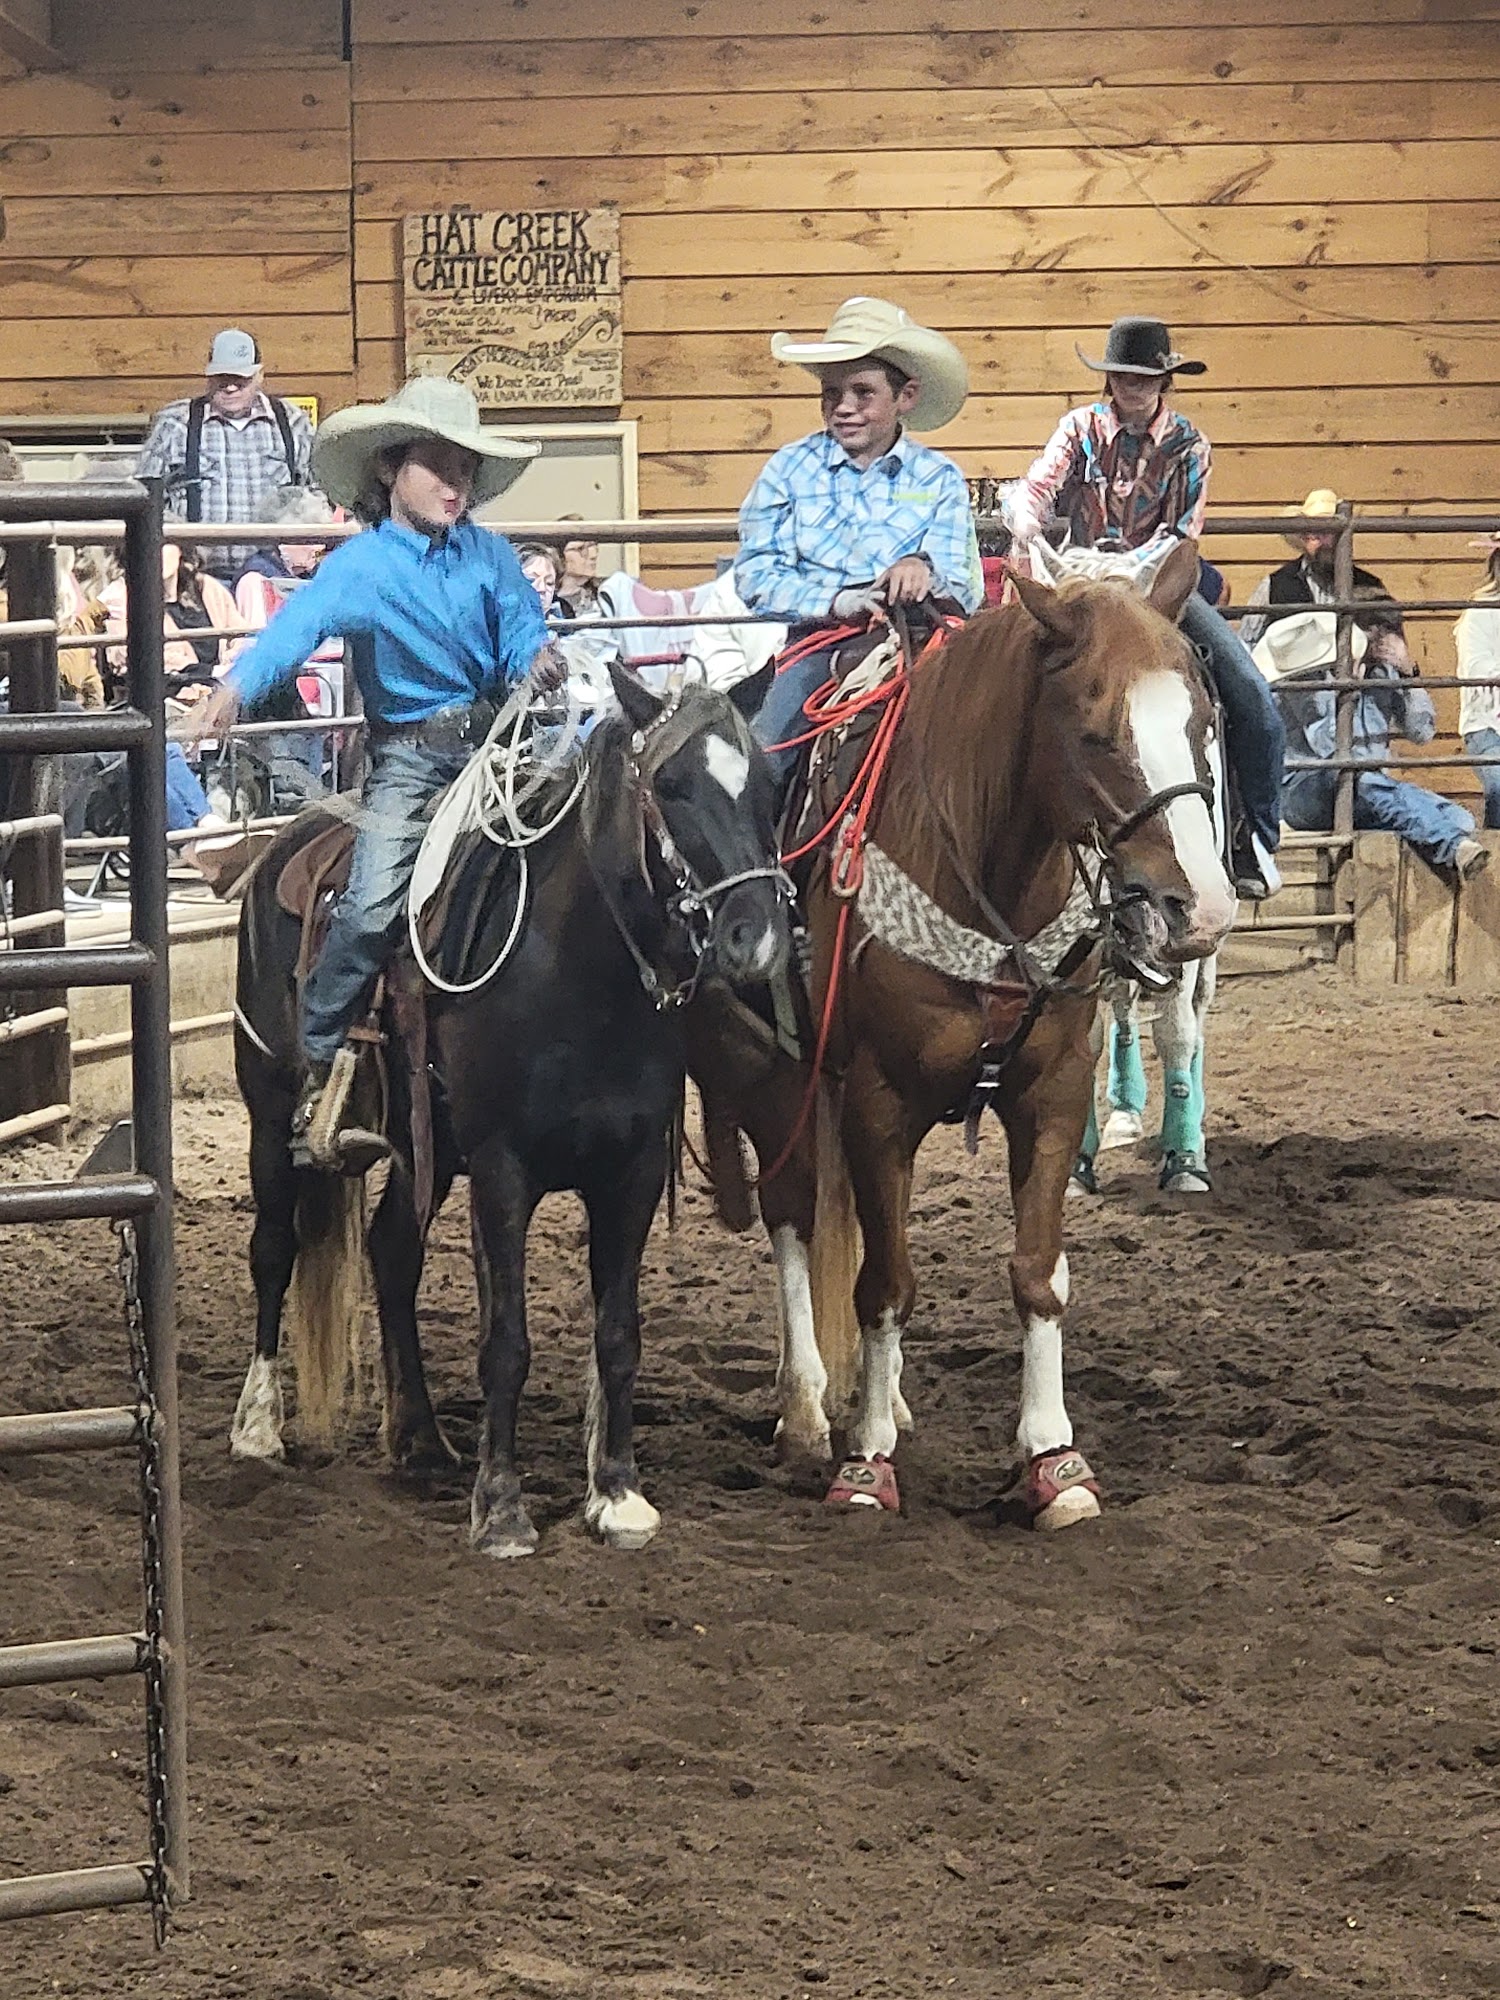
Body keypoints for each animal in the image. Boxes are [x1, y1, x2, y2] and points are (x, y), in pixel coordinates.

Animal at [227, 666, 793, 1558]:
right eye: (670, 785)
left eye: (768, 786)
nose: (757, 937)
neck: (580, 974)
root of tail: (289, 838)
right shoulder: (503, 1169)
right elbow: (507, 1342)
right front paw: (500, 1509)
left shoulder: (631, 1172)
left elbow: (619, 1334)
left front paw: (618, 1495)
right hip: (269, 1118)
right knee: (274, 1249)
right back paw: (258, 1426)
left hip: (425, 1147)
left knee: (391, 1254)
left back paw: (421, 1439)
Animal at [720, 536, 1237, 1523]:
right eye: (1096, 733)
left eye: (1202, 720)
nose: (1202, 911)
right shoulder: (879, 1102)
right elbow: (884, 1284)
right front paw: (866, 1463)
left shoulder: (1053, 1092)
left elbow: (1038, 1274)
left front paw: (1053, 1459)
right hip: (773, 1079)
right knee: (793, 1216)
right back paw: (807, 1408)